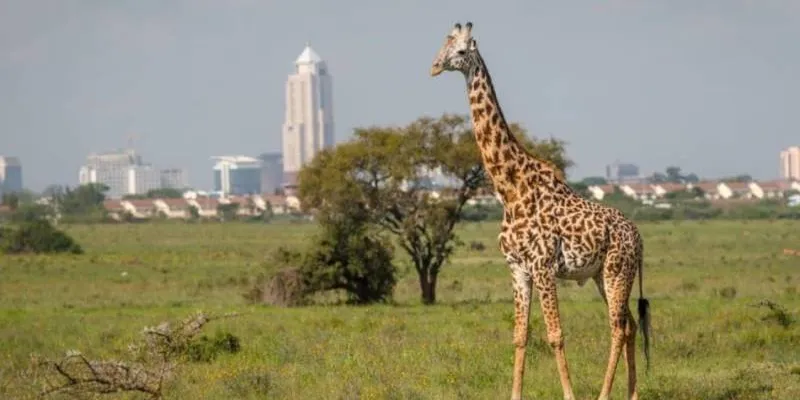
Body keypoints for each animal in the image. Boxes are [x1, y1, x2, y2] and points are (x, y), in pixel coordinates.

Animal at [429, 22, 651, 400]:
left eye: (459, 51)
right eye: (442, 46)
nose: (433, 67)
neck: (510, 190)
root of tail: (637, 237)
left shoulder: (544, 266)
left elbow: (555, 336)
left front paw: (570, 395)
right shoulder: (517, 268)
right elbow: (520, 336)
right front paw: (515, 394)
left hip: (616, 270)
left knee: (618, 328)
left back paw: (604, 394)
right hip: (601, 275)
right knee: (630, 325)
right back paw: (632, 394)